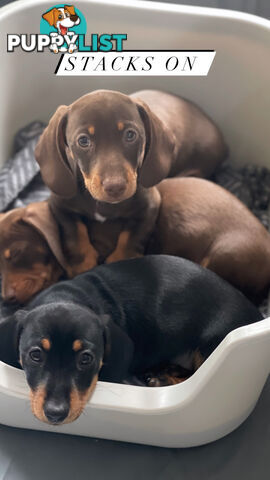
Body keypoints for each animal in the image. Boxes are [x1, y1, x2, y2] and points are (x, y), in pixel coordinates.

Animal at [34, 91, 227, 266]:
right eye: (83, 141)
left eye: (130, 135)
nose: (115, 187)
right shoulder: (59, 205)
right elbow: (74, 233)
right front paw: (83, 265)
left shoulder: (150, 205)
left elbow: (131, 238)